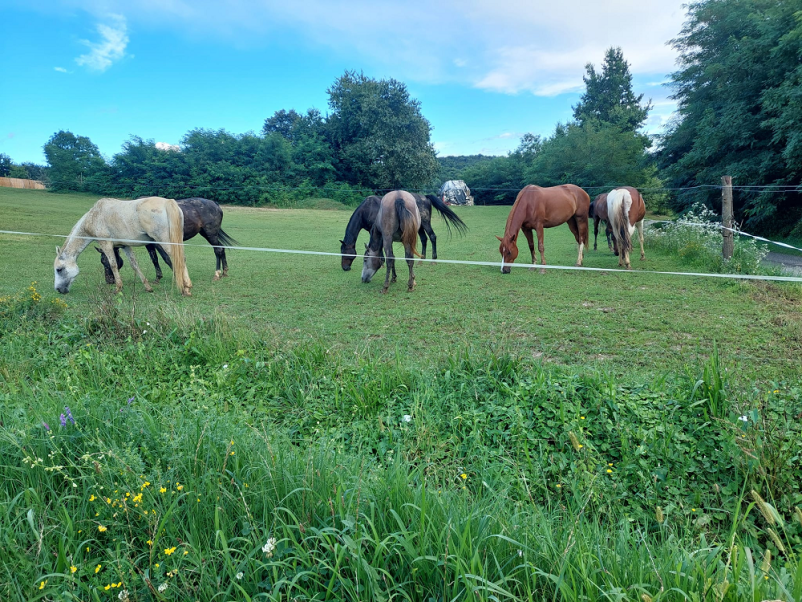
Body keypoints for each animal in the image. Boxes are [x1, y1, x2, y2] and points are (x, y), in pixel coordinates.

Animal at [54, 197, 192, 296]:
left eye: (59, 269)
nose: (58, 289)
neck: (94, 217)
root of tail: (168, 202)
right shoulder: (125, 245)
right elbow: (134, 265)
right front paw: (148, 287)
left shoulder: (106, 243)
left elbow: (113, 264)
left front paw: (118, 288)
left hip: (164, 242)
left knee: (179, 259)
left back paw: (186, 288)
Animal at [98, 197, 236, 282]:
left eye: (105, 261)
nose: (109, 281)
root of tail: (215, 204)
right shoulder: (149, 244)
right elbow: (154, 259)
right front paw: (158, 277)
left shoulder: (159, 242)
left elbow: (166, 258)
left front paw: (176, 275)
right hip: (207, 234)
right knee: (221, 249)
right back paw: (225, 272)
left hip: (210, 233)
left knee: (218, 250)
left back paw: (217, 273)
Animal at [340, 192, 468, 270]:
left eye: (345, 252)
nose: (345, 268)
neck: (367, 209)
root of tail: (425, 197)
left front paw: (381, 262)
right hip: (419, 227)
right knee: (424, 239)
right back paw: (421, 260)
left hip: (425, 223)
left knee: (432, 237)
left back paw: (433, 260)